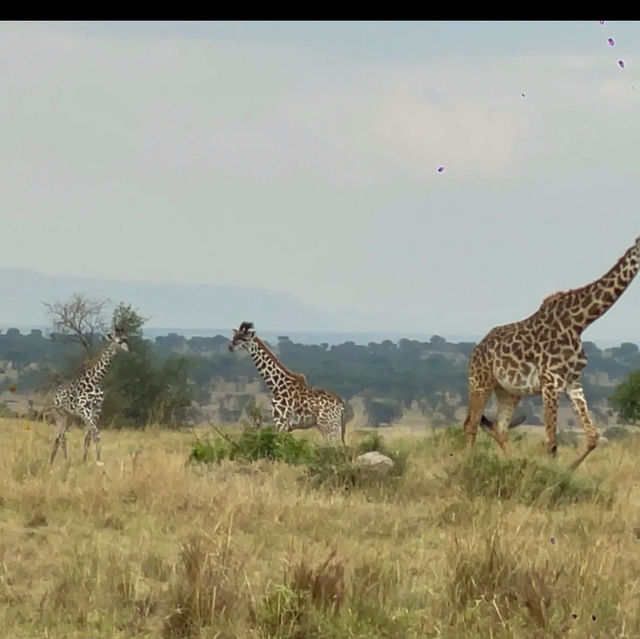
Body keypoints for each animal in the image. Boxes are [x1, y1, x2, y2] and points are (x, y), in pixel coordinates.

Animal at [50, 330, 131, 464]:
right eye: (118, 341)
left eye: (126, 339)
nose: (128, 350)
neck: (95, 379)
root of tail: (54, 396)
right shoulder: (84, 410)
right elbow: (95, 434)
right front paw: (98, 460)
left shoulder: (96, 410)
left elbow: (89, 436)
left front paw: (85, 459)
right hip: (59, 413)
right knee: (62, 436)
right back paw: (65, 460)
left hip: (69, 416)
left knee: (58, 435)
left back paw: (51, 461)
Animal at [464, 235, 640, 470]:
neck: (579, 322)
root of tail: (475, 349)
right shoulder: (550, 382)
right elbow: (551, 442)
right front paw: (554, 474)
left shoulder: (573, 383)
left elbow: (592, 437)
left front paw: (566, 471)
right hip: (480, 383)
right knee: (471, 425)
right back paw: (466, 464)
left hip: (509, 392)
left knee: (499, 428)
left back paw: (514, 464)